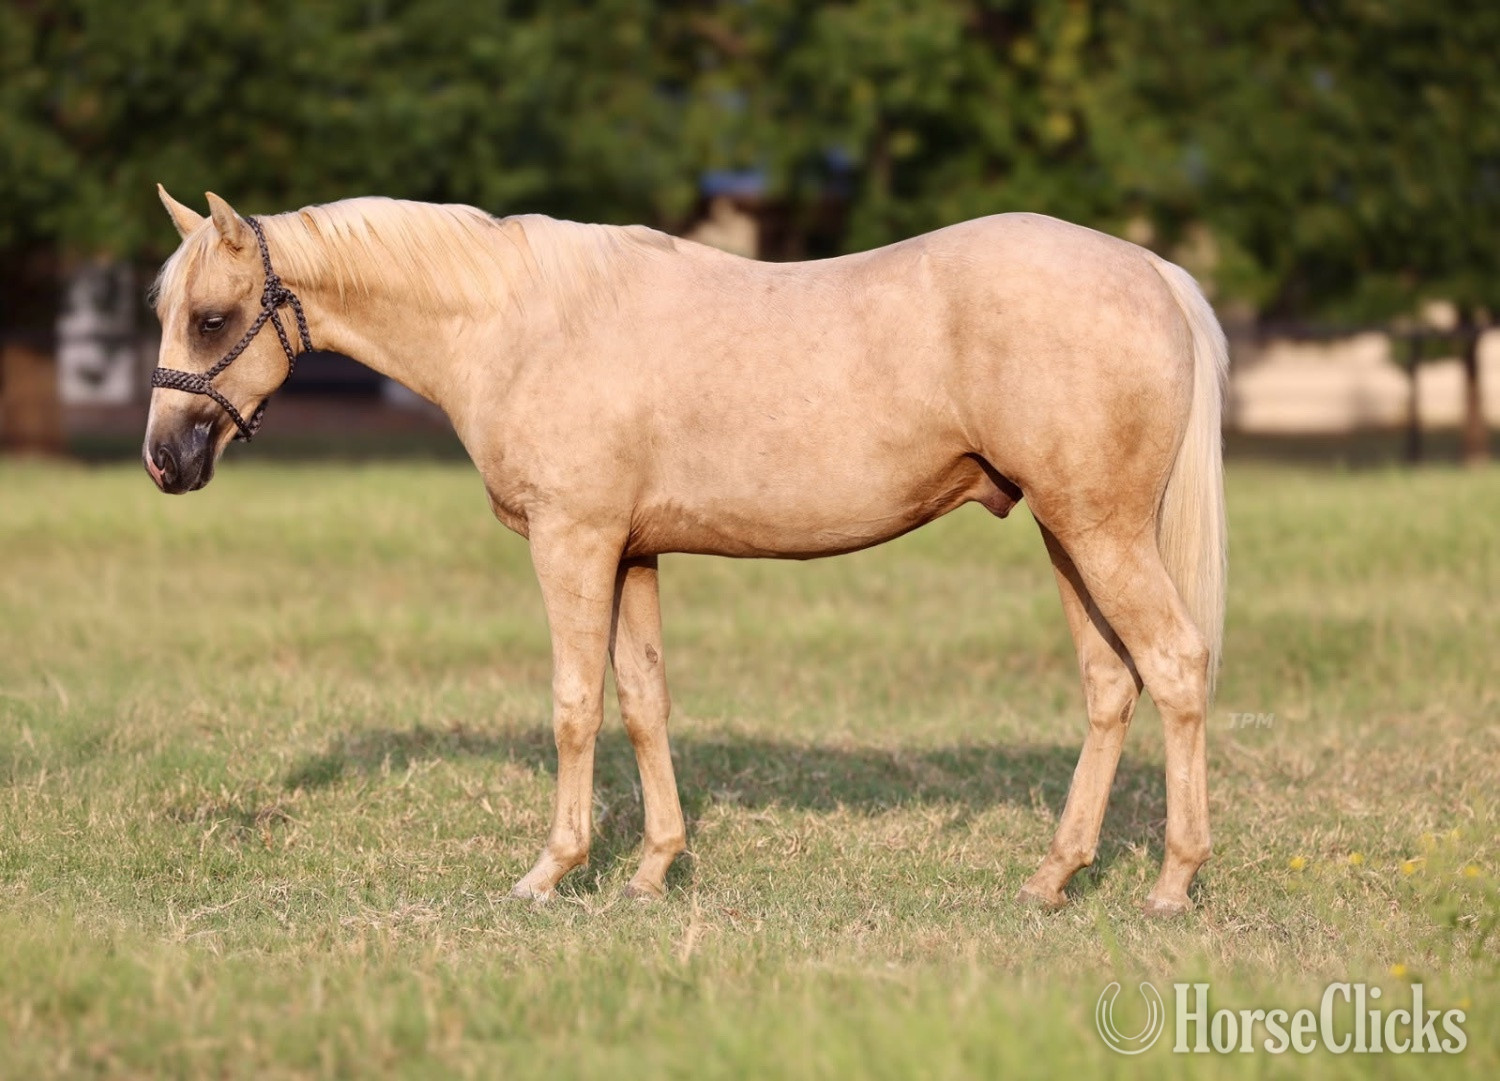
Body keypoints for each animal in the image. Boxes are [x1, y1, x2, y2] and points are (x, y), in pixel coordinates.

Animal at [144, 187, 1226, 916]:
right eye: (164, 313)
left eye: (211, 317)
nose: (164, 459)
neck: (519, 323)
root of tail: (1154, 272)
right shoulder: (631, 553)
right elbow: (644, 701)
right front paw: (653, 868)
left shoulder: (574, 541)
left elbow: (576, 704)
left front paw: (551, 871)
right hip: (1067, 534)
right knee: (1110, 683)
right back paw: (1052, 877)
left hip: (1099, 531)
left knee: (1173, 666)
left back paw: (1172, 882)